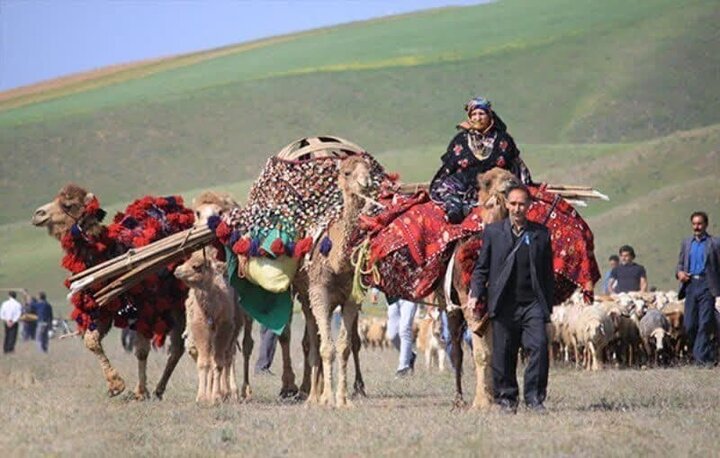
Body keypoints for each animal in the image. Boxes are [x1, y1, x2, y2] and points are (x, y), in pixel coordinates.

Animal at [32, 184, 187, 398]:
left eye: (68, 204)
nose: (38, 214)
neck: (108, 254)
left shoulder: (144, 308)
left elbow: (141, 350)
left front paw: (139, 391)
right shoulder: (102, 307)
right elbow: (91, 341)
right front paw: (116, 385)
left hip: (178, 301)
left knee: (178, 346)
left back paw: (161, 388)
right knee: (178, 347)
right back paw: (159, 389)